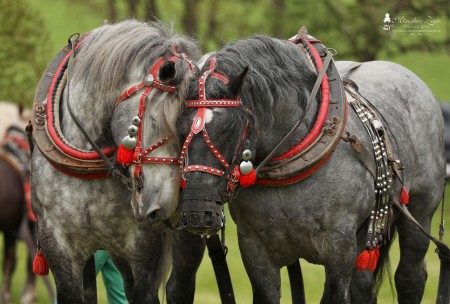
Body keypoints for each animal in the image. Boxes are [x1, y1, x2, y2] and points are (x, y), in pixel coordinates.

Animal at [30, 20, 200, 302]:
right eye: (155, 120)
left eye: (191, 127)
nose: (166, 205)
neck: (85, 168)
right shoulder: (57, 242)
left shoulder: (143, 245)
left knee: (179, 285)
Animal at [176, 32, 446, 302]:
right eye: (180, 129)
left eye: (229, 128)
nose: (197, 212)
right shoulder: (255, 250)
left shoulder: (340, 249)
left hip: (419, 210)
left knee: (410, 276)